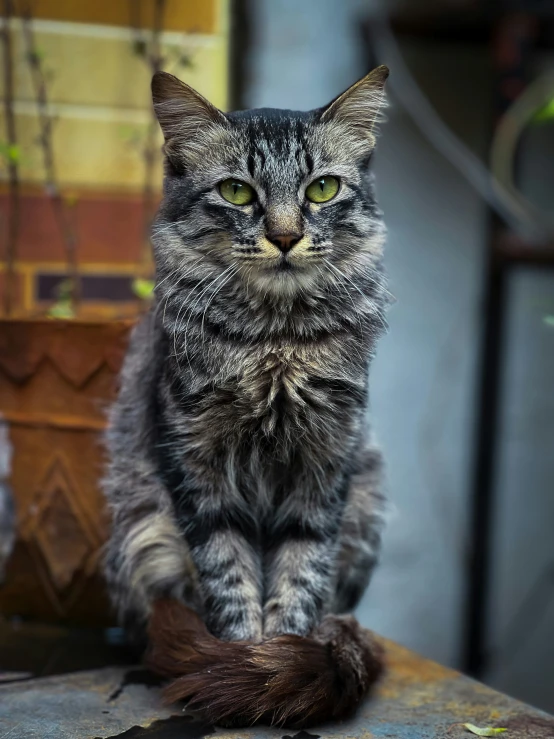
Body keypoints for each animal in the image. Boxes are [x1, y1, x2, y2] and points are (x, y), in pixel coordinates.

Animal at [102, 65, 388, 728]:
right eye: (237, 193)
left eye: (321, 189)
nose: (285, 237)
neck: (275, 346)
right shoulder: (195, 463)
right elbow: (229, 578)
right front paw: (239, 664)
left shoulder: (325, 464)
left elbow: (300, 576)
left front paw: (282, 659)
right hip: (140, 533)